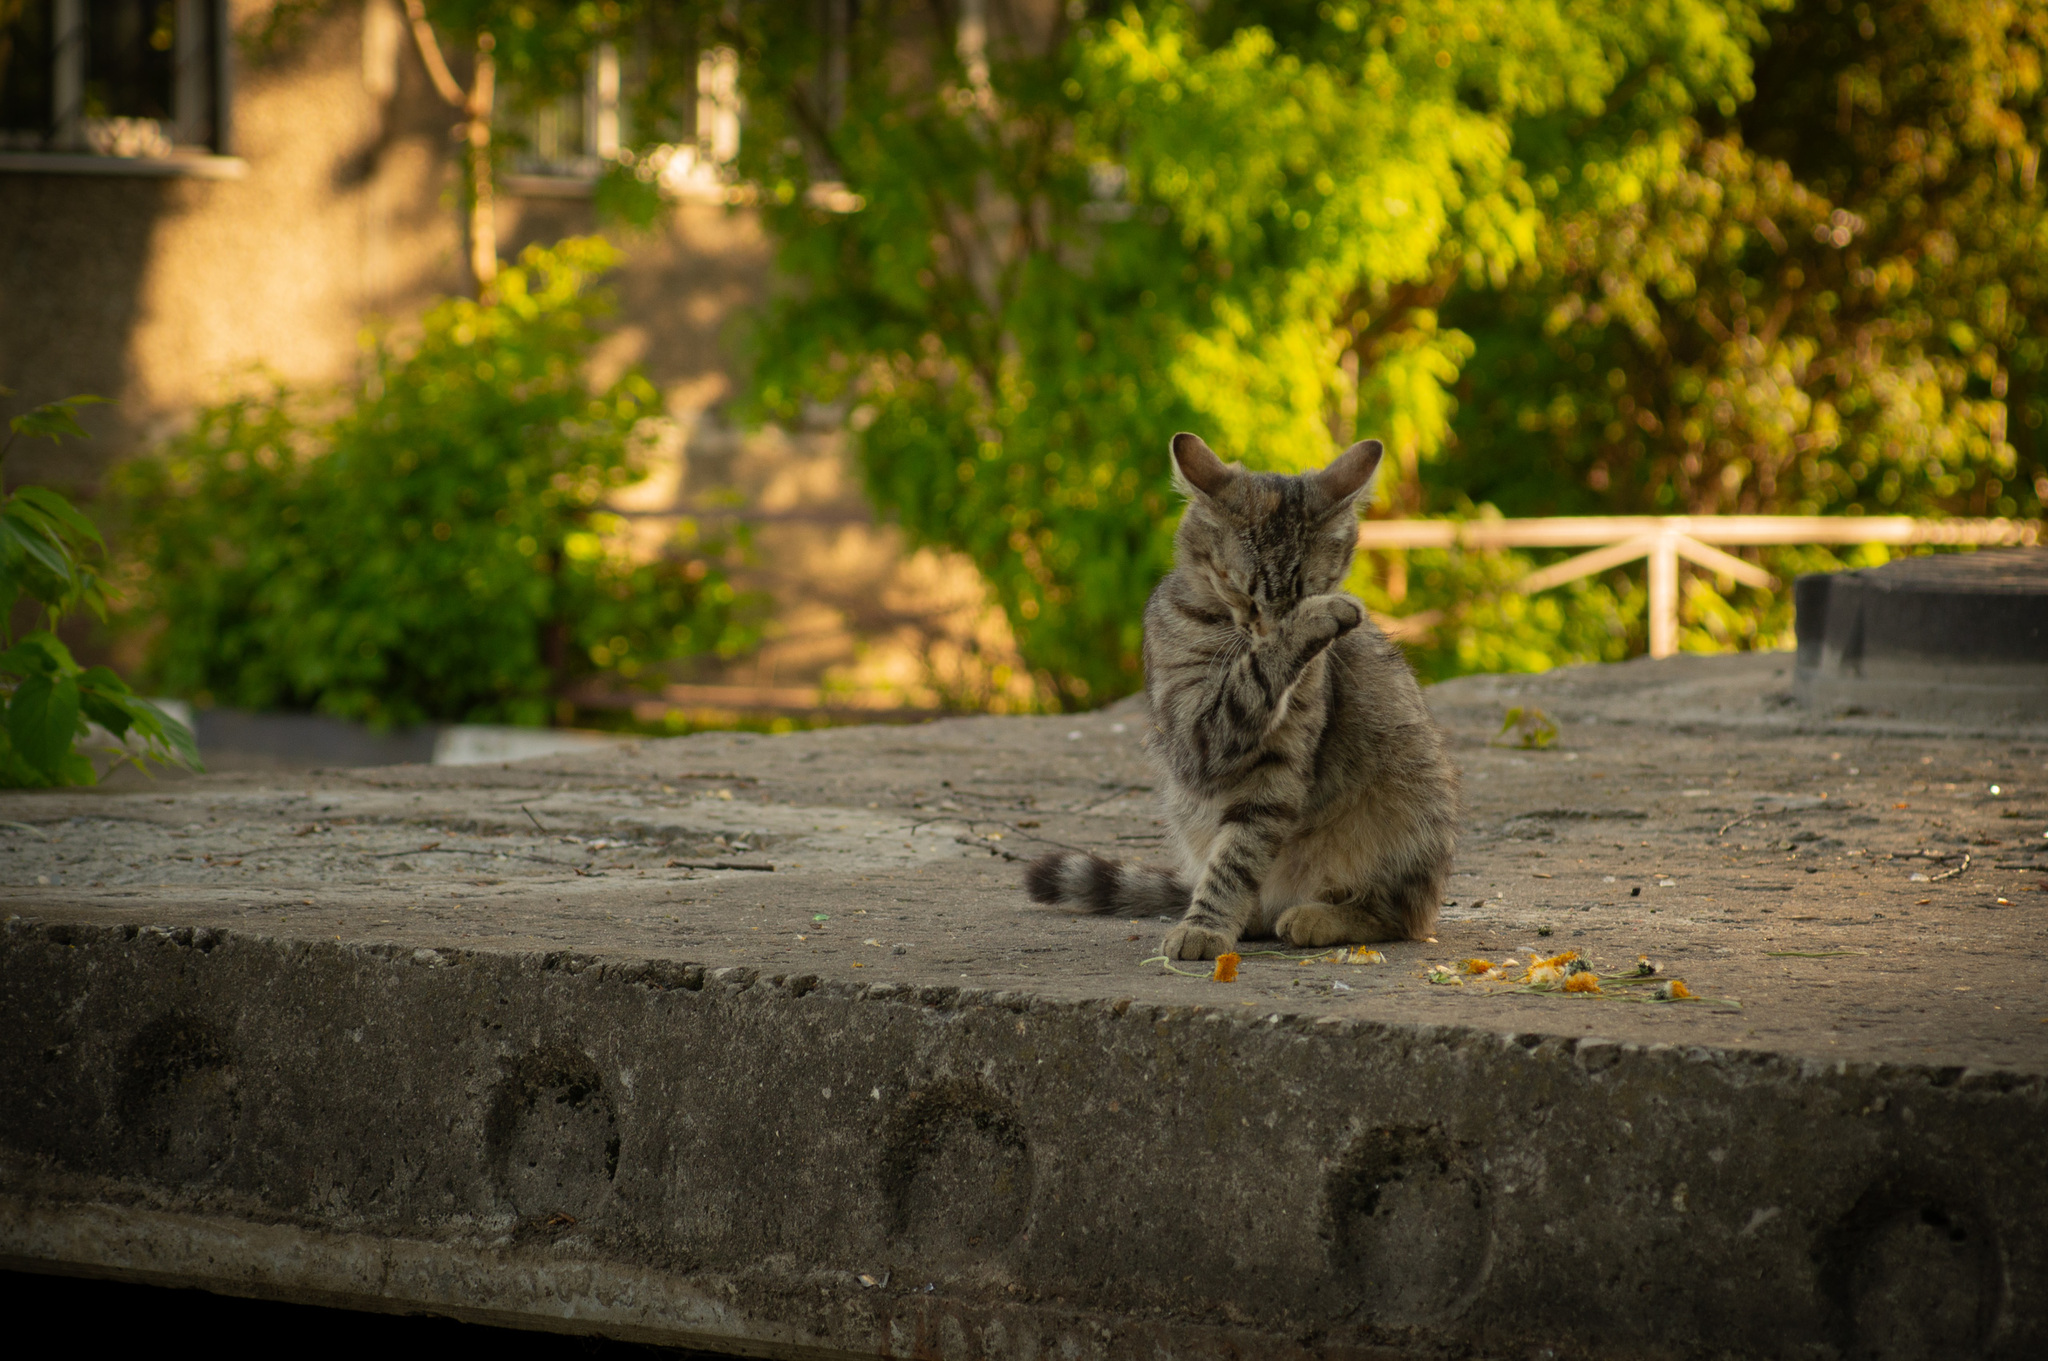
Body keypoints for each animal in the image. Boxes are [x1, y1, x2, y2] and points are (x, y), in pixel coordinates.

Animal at [1024, 431, 1458, 953]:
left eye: (1308, 588)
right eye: (1244, 593)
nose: (1271, 628)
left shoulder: (1279, 764)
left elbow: (1238, 855)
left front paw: (1207, 925)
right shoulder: (1195, 735)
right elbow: (1231, 853)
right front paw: (1206, 926)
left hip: (1407, 815)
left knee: (1399, 914)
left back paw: (1315, 915)